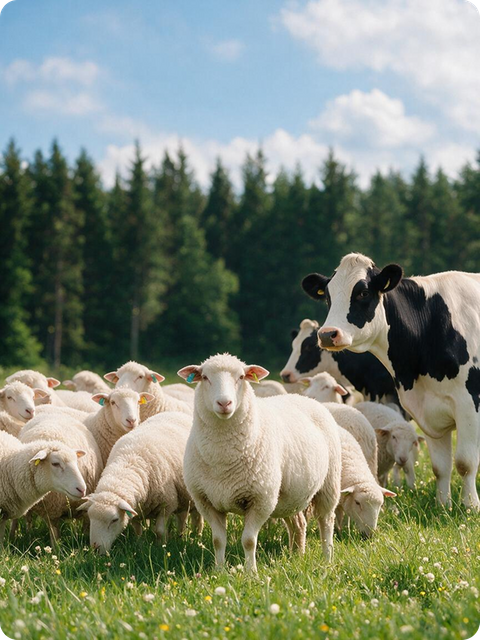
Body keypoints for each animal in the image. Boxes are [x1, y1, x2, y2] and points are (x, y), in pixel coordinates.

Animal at [19, 413, 103, 543]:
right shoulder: (51, 511)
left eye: (76, 461)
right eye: (55, 464)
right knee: (27, 519)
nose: (82, 489)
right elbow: (54, 536)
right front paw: (56, 547)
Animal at [78, 412, 201, 554]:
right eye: (90, 517)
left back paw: (197, 535)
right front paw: (139, 544)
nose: (96, 549)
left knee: (197, 518)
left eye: (114, 520)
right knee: (182, 517)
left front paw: (160, 546)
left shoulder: (167, 504)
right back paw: (181, 536)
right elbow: (137, 530)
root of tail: (177, 413)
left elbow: (159, 531)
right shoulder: (135, 508)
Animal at [178, 353, 342, 571]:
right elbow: (218, 540)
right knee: (299, 524)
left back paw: (327, 559)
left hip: (328, 485)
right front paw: (219, 571)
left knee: (326, 521)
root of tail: (304, 397)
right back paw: (297, 555)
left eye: (241, 377)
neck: (222, 459)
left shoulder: (261, 499)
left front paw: (251, 572)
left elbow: (248, 541)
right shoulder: (206, 501)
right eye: (205, 377)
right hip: (287, 495)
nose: (224, 403)